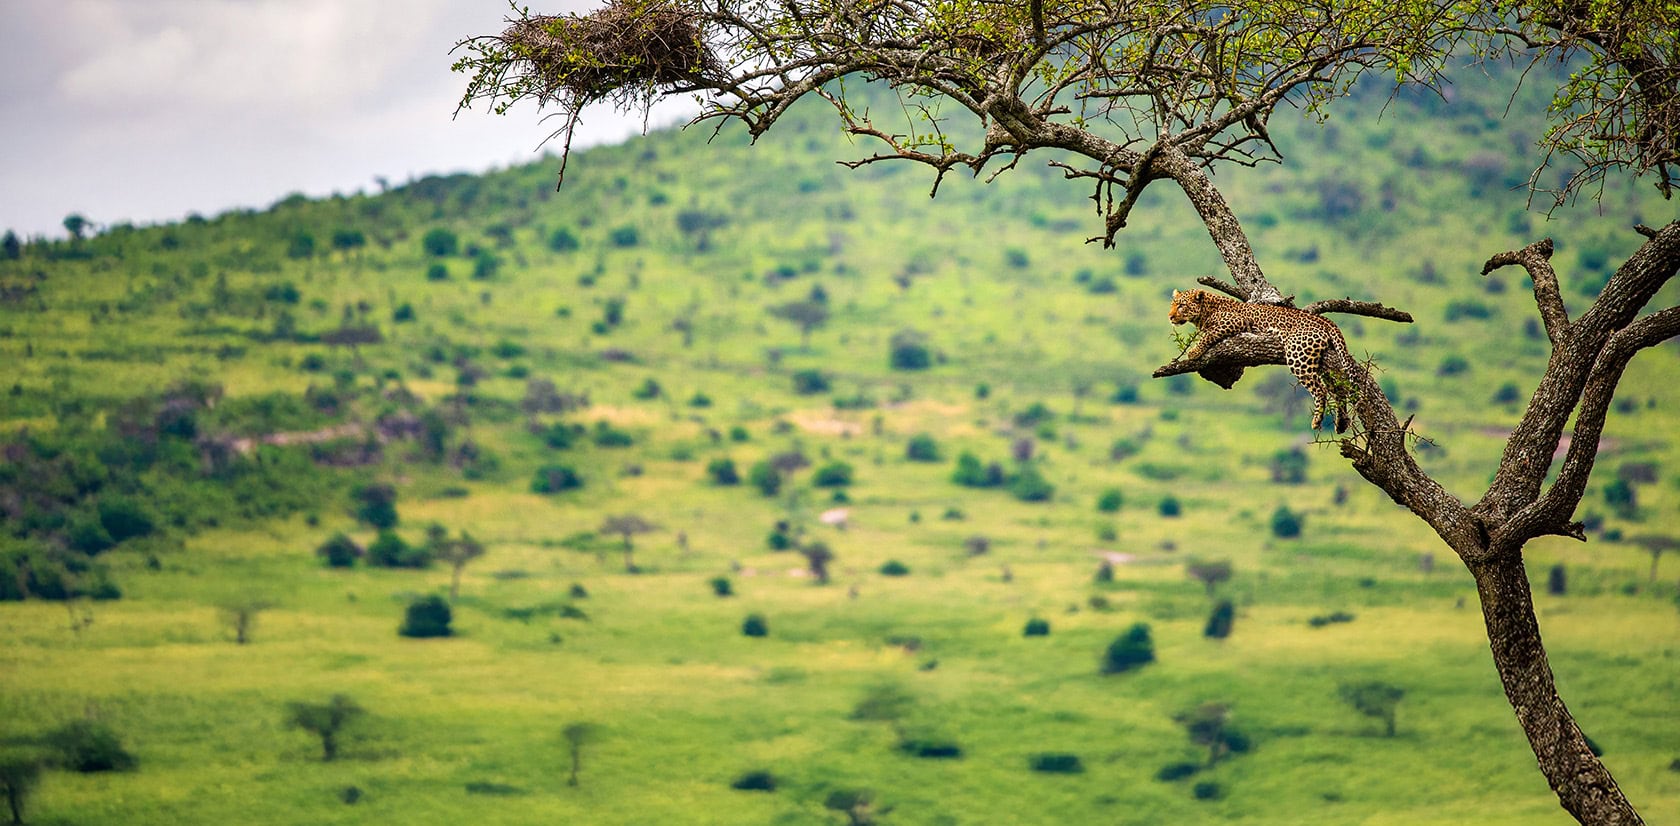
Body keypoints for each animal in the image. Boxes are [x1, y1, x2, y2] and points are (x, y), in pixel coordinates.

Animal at [1168, 288, 1355, 433]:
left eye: (1181, 305)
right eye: (1172, 305)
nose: (1170, 317)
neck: (1206, 310)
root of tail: (1326, 321)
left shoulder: (1234, 321)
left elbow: (1208, 335)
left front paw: (1194, 351)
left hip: (1297, 354)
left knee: (1320, 390)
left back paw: (1317, 420)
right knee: (1338, 389)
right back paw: (1341, 424)